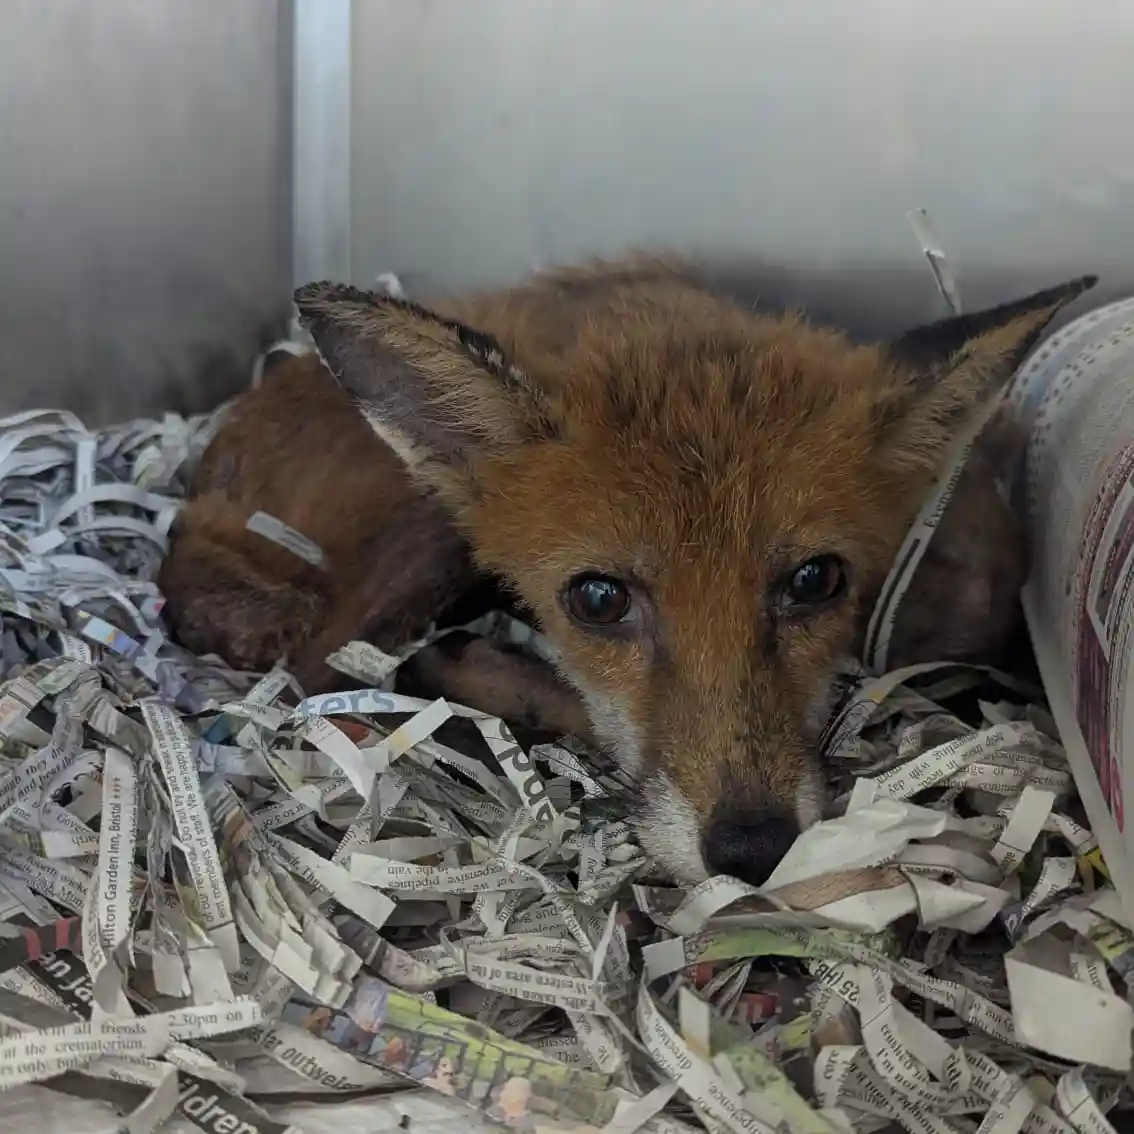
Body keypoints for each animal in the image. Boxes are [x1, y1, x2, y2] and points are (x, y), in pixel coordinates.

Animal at [162, 254, 1096, 886]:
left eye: (815, 581)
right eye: (599, 599)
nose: (751, 849)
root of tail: (202, 477)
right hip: (419, 536)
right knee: (331, 667)